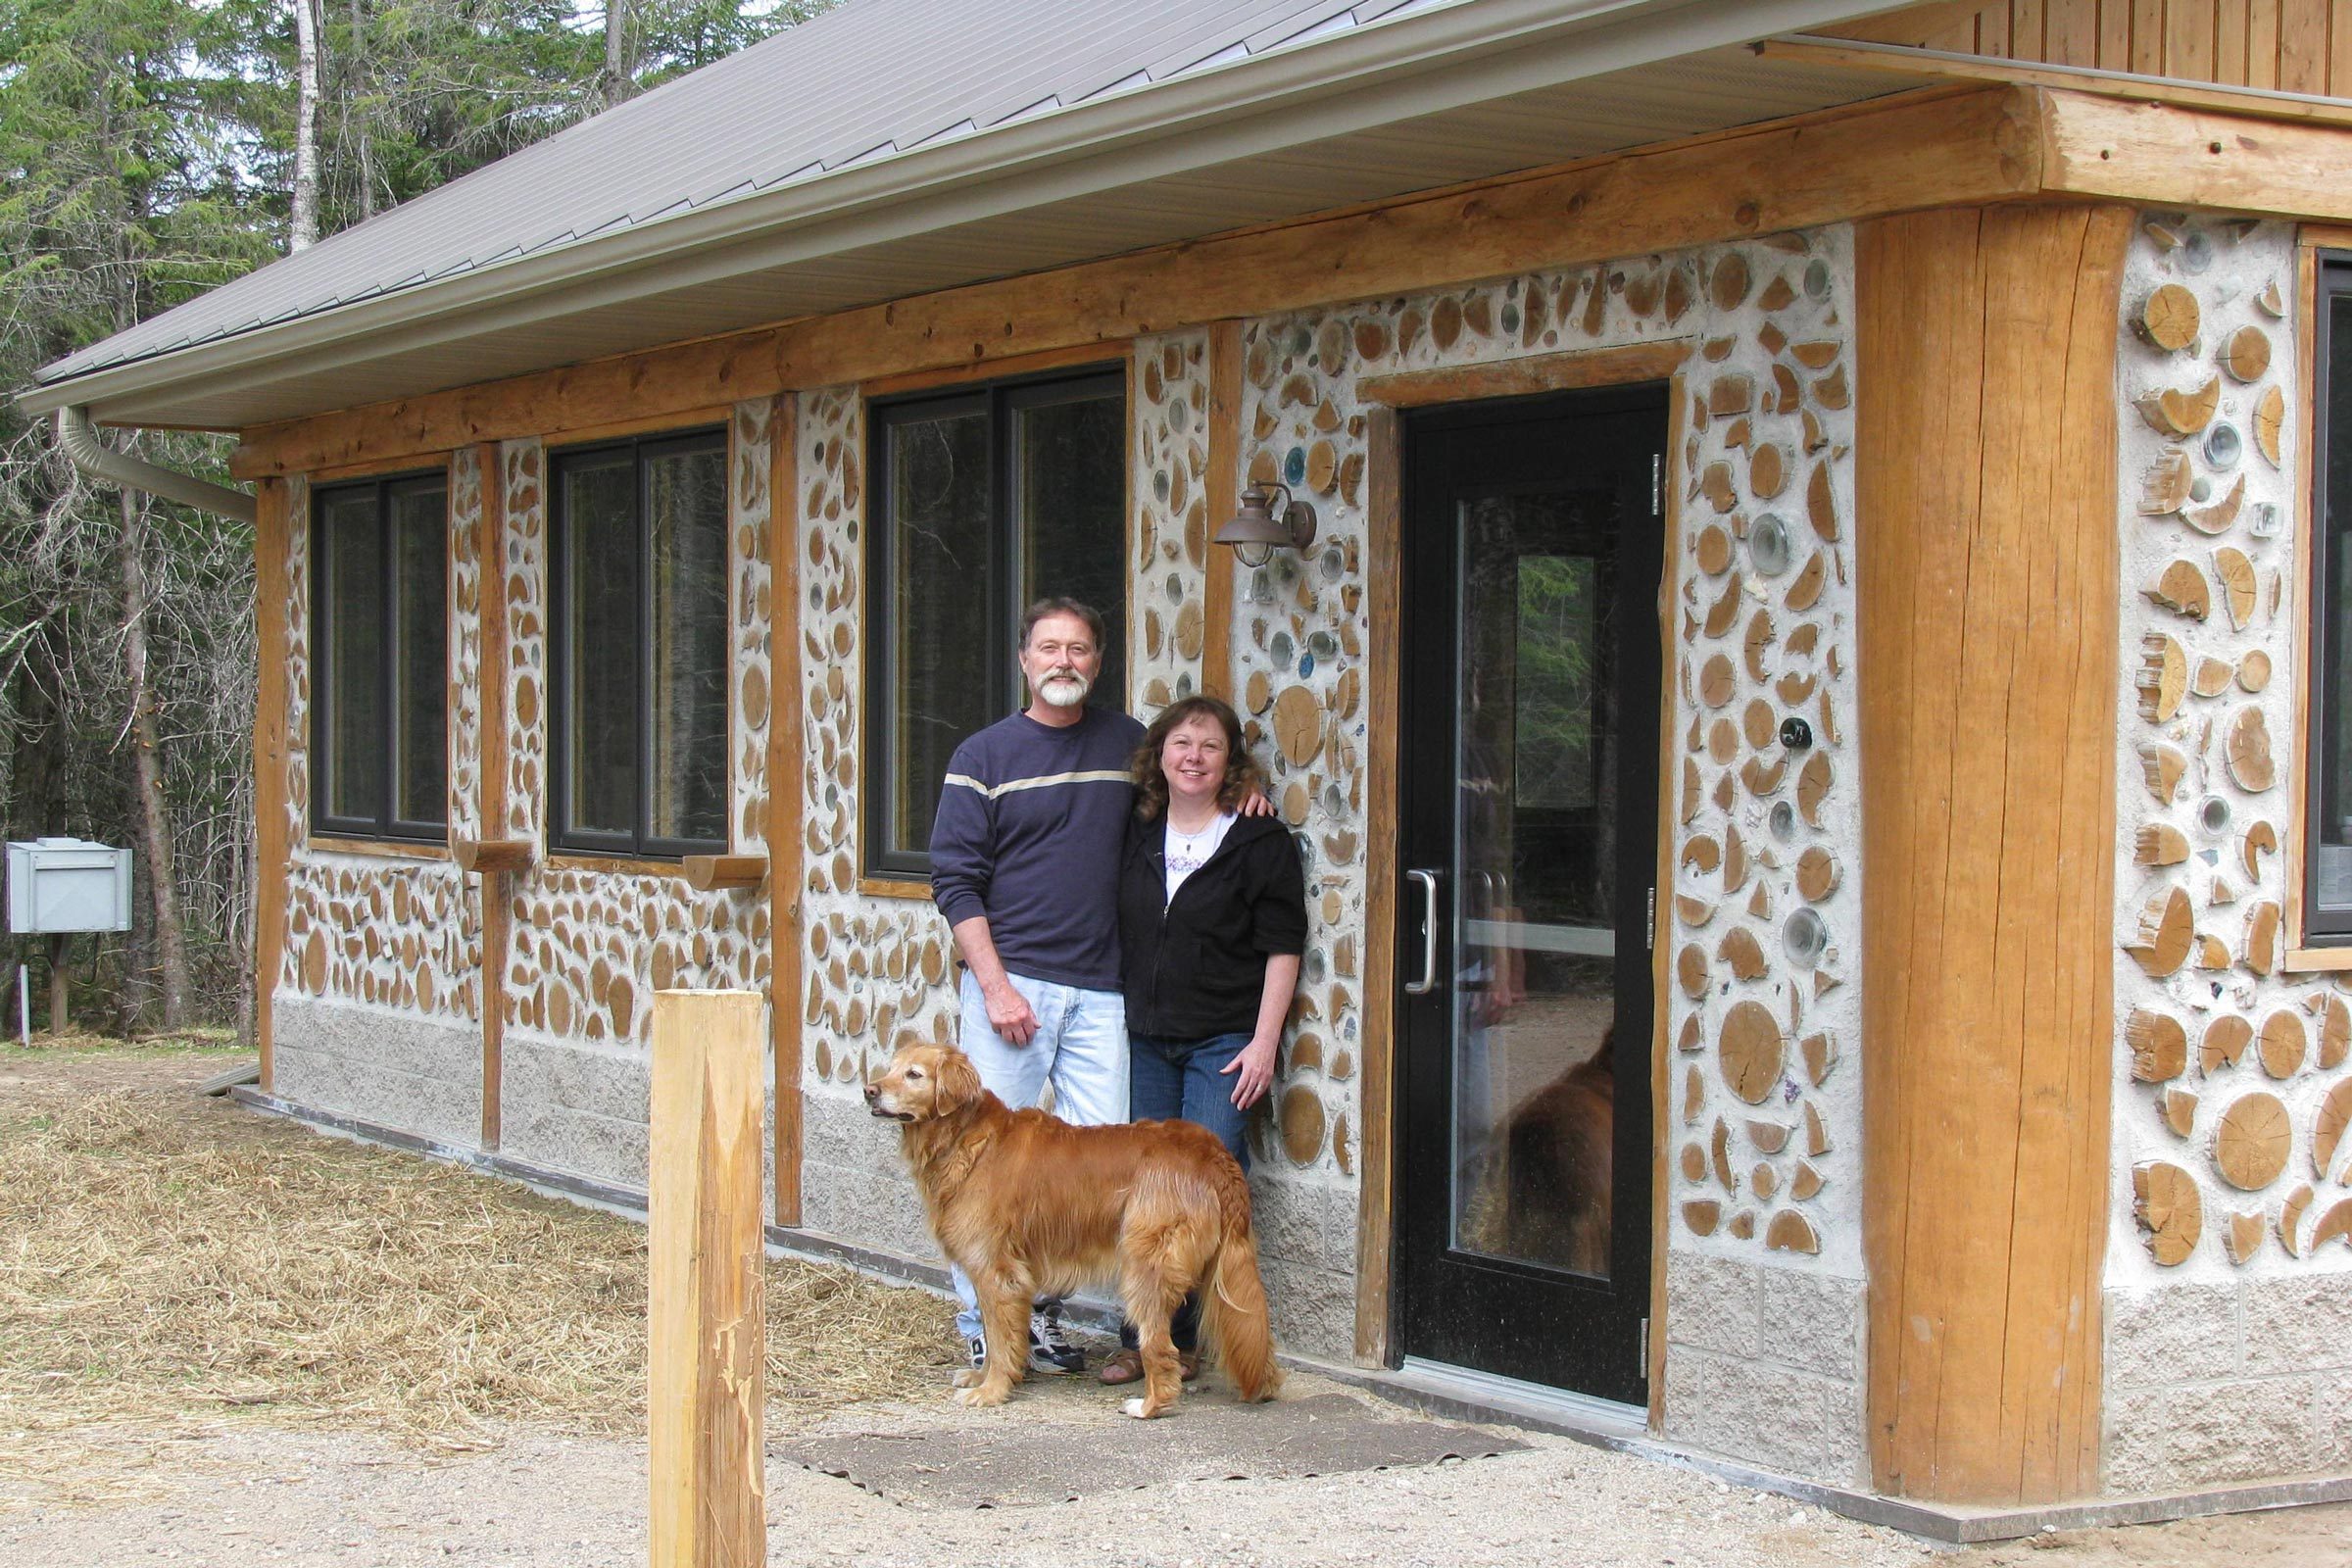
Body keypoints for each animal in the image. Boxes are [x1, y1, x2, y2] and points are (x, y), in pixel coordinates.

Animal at [860, 1044, 1279, 1419]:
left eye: (914, 1074)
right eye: (891, 1067)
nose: (869, 1091)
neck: (966, 1137)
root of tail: (1211, 1152)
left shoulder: (996, 1271)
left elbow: (999, 1338)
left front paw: (991, 1390)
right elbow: (994, 1335)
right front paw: (982, 1378)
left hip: (1145, 1269)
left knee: (1161, 1350)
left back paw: (1148, 1407)